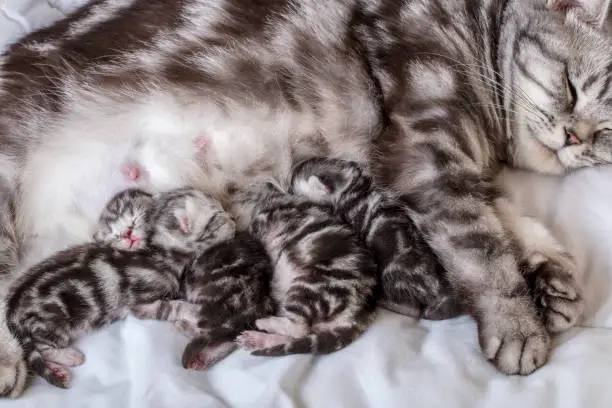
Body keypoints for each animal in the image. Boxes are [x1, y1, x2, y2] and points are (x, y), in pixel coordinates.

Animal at [5, 186, 232, 388]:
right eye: (216, 218)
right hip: (53, 321)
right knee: (41, 346)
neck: (159, 250)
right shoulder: (142, 299)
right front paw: (197, 311)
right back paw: (68, 357)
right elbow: (171, 306)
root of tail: (12, 305)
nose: (233, 220)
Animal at [233, 182, 380, 356]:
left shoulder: (262, 217)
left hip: (310, 286)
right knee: (295, 336)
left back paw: (264, 323)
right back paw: (257, 340)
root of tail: (362, 311)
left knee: (298, 329)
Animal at [290, 158, 460, 320]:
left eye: (293, 186)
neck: (354, 186)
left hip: (392, 275)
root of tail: (439, 289)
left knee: (413, 309)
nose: (288, 189)